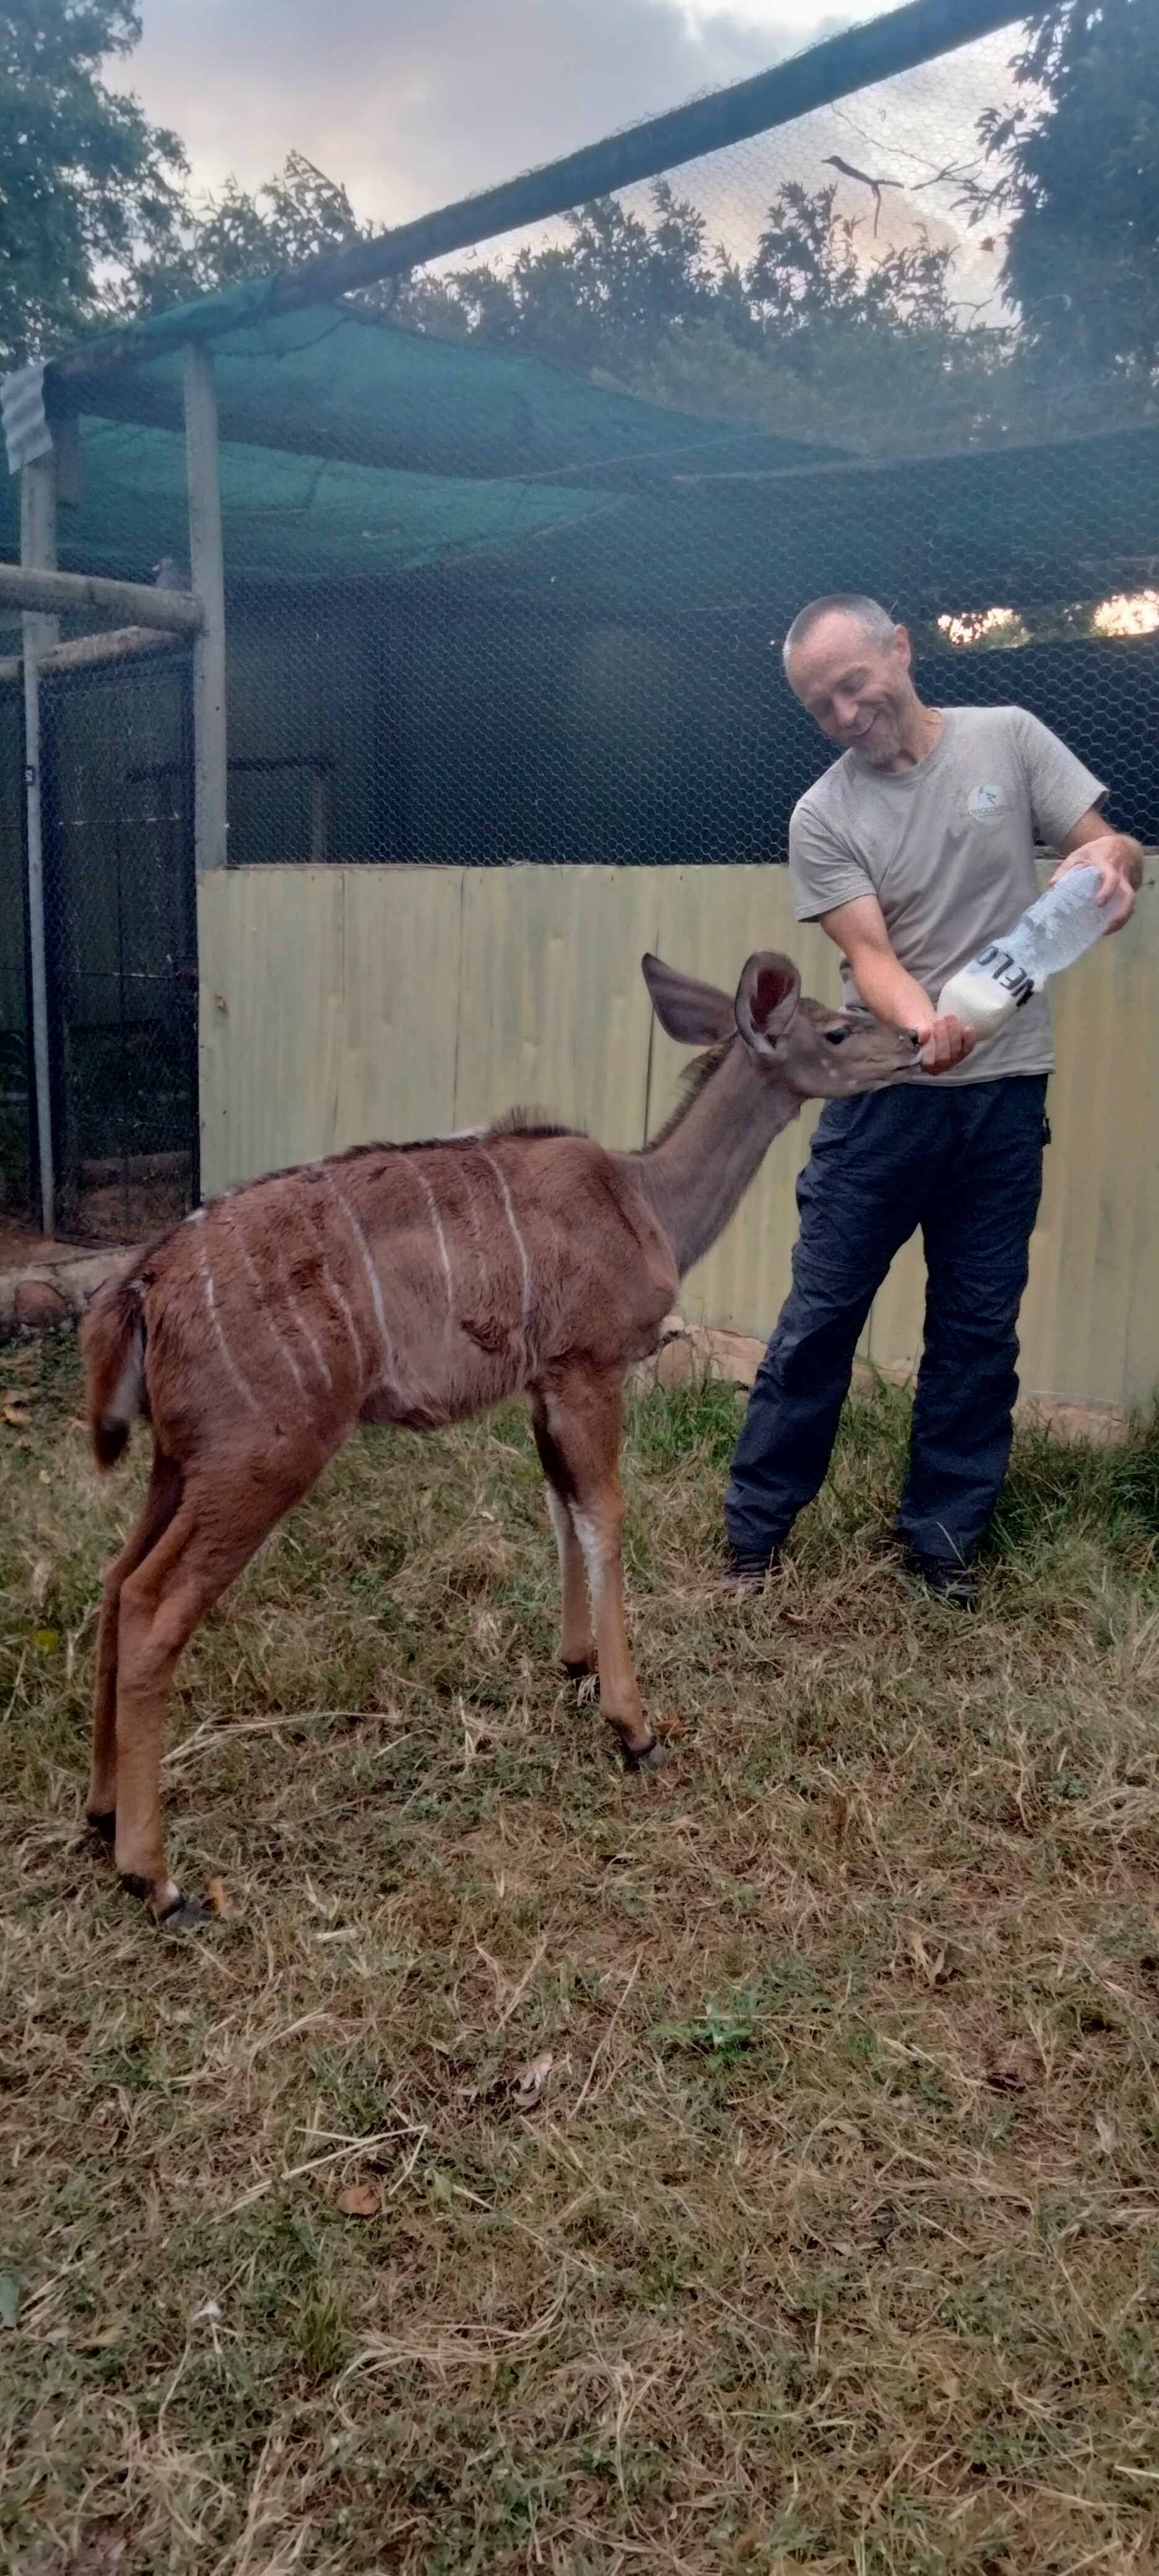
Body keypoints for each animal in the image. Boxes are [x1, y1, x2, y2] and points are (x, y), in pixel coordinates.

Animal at [82, 950, 917, 1926]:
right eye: (837, 1029)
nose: (914, 1040)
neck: (646, 1201)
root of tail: (145, 1284)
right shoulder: (589, 1366)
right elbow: (604, 1515)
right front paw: (634, 1727)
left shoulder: (541, 1384)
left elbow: (561, 1509)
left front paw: (575, 1665)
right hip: (261, 1457)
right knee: (152, 1605)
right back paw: (158, 1879)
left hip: (179, 1463)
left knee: (116, 1580)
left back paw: (100, 1815)